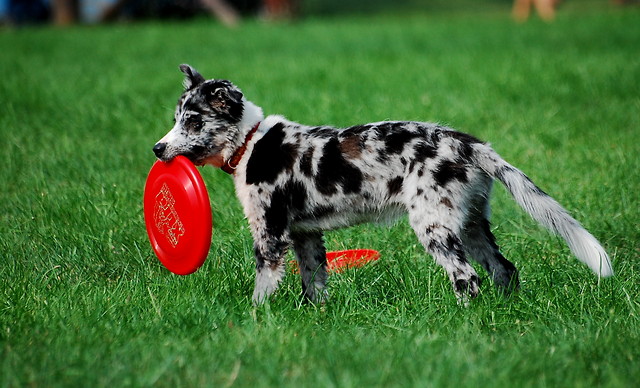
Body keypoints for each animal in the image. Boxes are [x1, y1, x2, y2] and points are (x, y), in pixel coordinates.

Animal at [152, 64, 612, 306]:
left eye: (192, 122)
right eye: (176, 119)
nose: (157, 149)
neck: (251, 143)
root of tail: (469, 143)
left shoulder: (270, 235)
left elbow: (263, 287)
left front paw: (256, 319)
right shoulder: (305, 236)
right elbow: (314, 282)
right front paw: (313, 316)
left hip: (434, 226)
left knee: (468, 277)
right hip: (471, 224)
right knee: (504, 269)